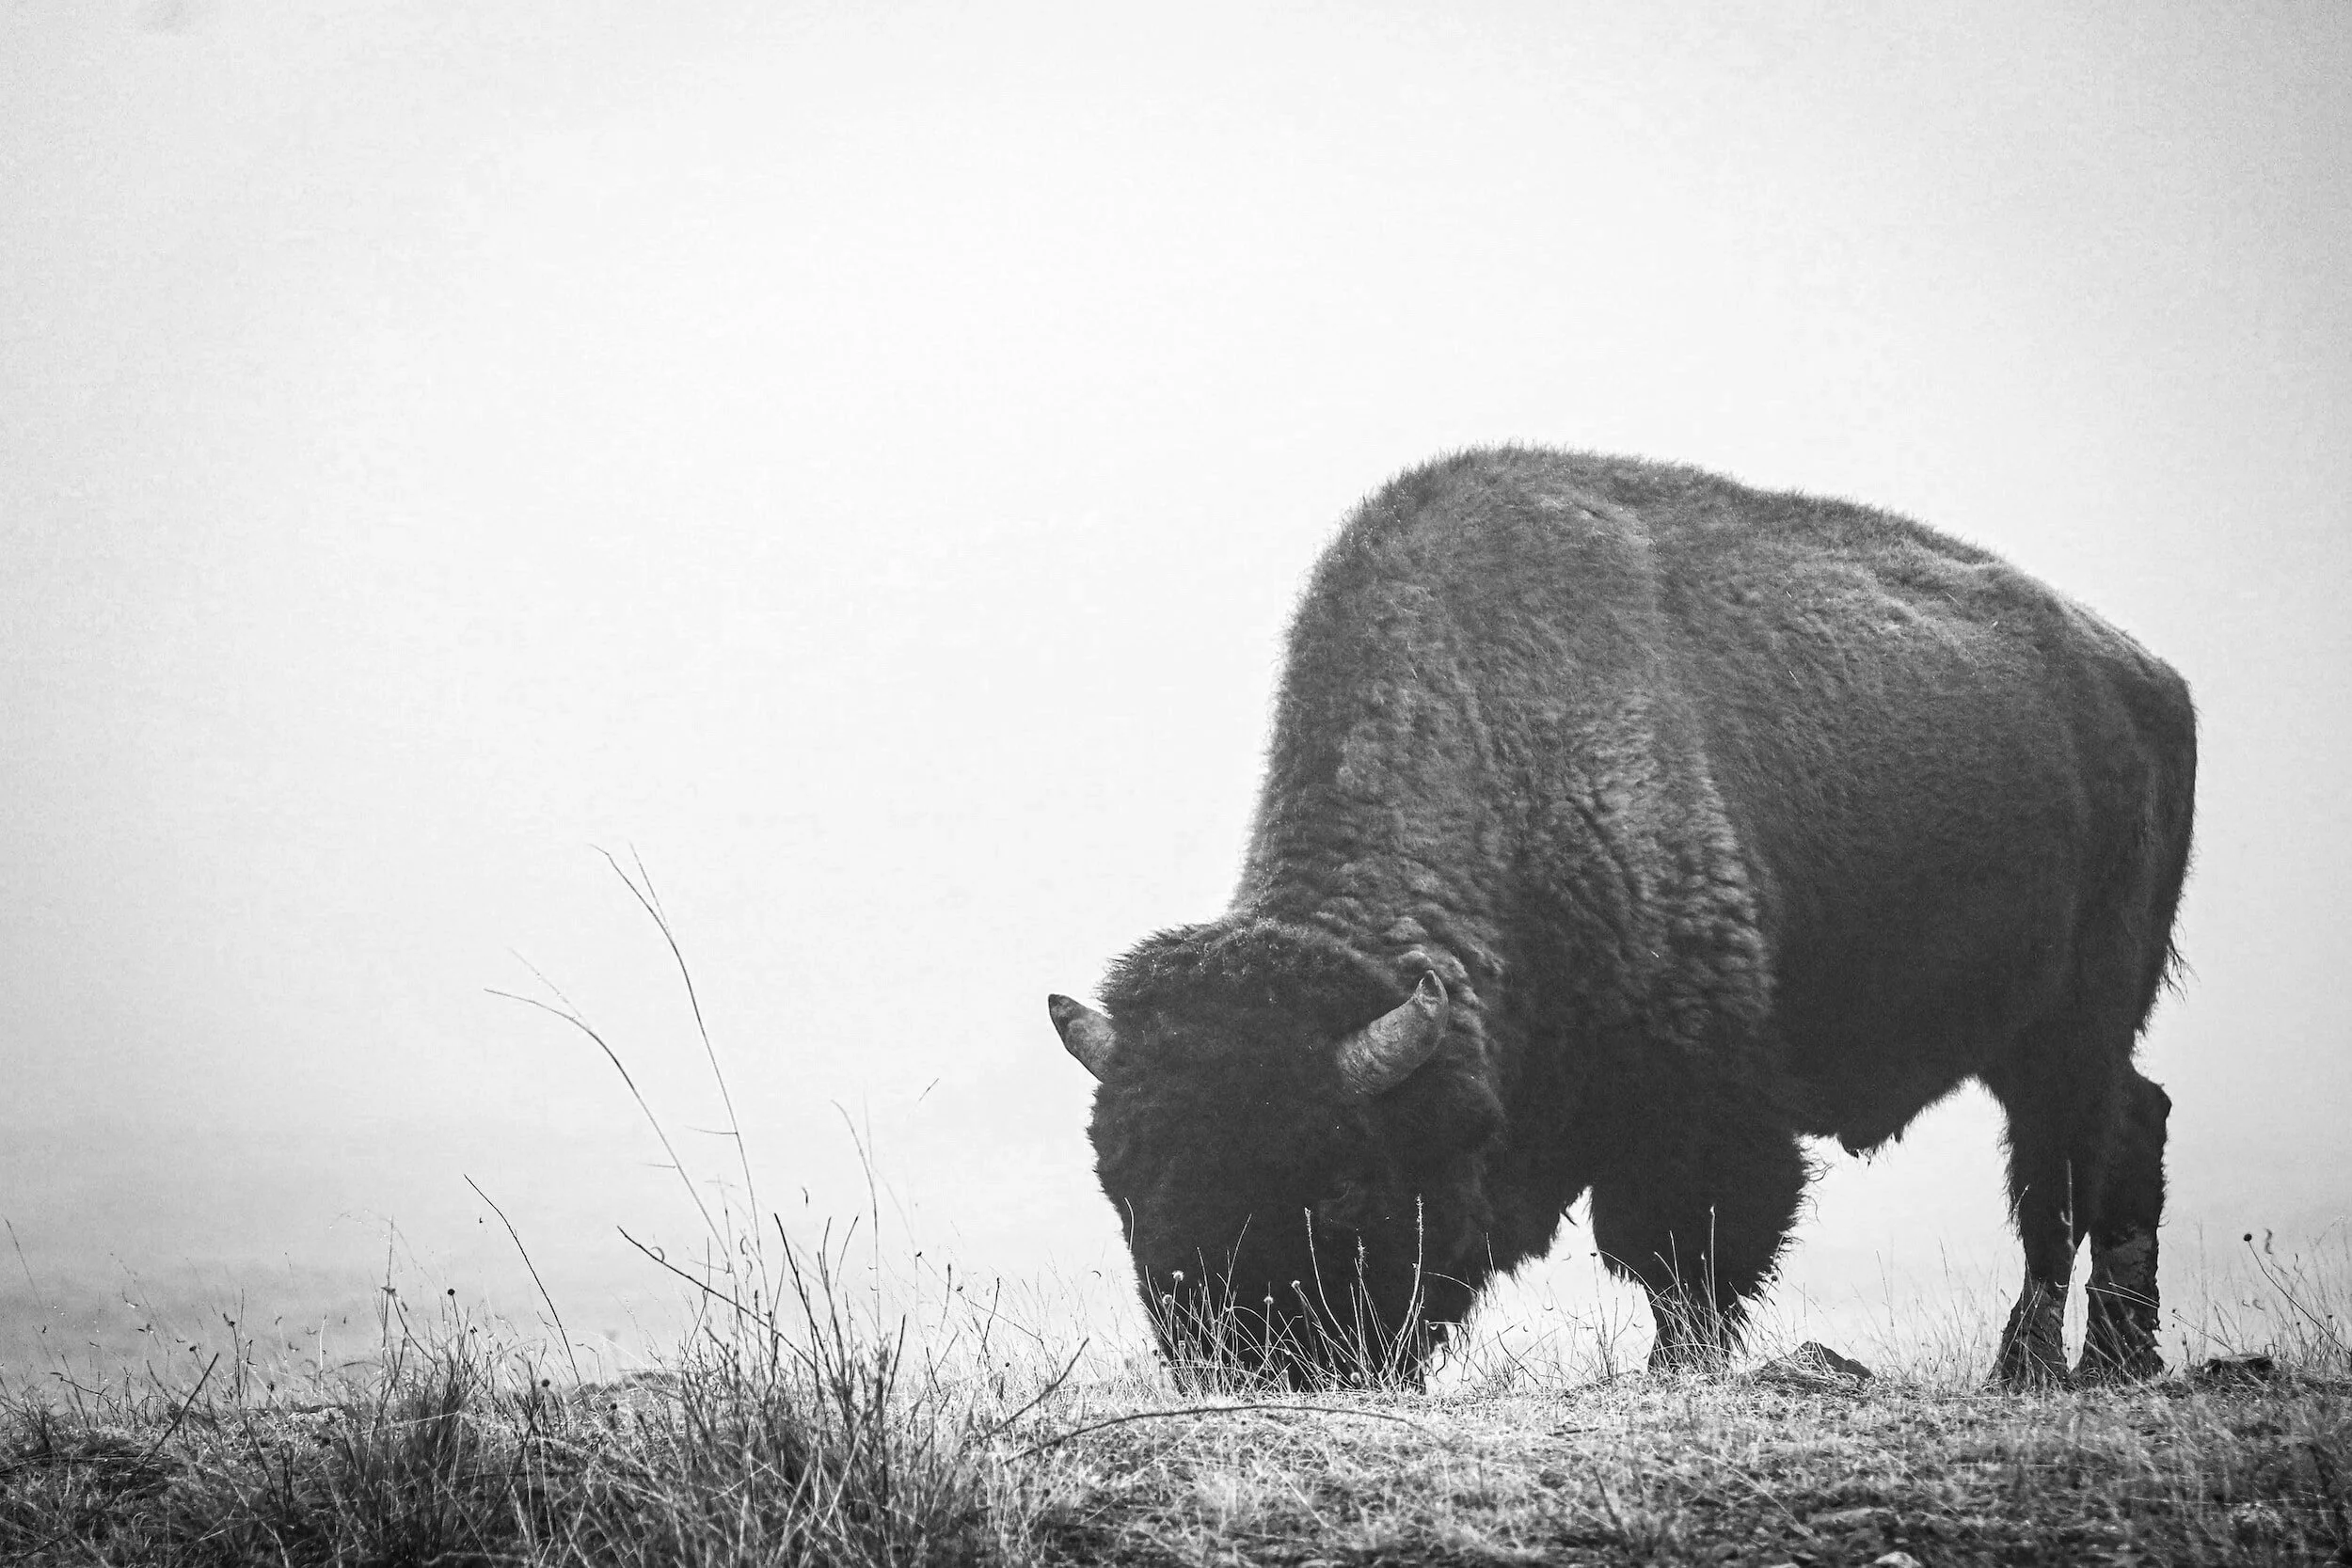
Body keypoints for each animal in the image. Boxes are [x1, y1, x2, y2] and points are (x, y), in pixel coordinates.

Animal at [1048, 447, 2194, 1387]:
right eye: (1123, 1186)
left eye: (1338, 1185)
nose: (1238, 1363)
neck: (1504, 756)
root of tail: (2146, 676)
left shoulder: (1699, 1104)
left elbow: (1686, 1252)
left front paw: (1675, 1372)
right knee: (2133, 1126)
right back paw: (2121, 1360)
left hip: (2071, 1022)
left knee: (2058, 1179)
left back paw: (2030, 1365)